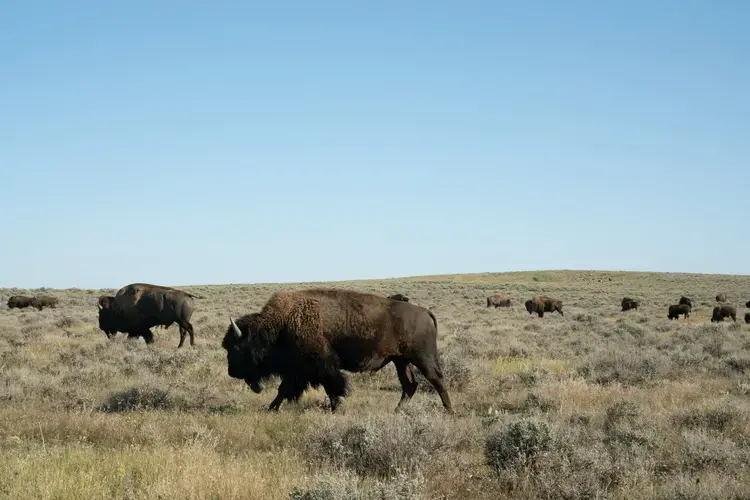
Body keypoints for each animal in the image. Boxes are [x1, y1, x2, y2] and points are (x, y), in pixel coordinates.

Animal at [220, 290, 456, 414]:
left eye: (238, 348)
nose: (231, 371)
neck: (282, 324)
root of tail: (424, 312)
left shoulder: (322, 367)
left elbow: (332, 387)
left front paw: (335, 409)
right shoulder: (298, 371)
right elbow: (284, 389)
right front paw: (271, 408)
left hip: (422, 358)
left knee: (437, 380)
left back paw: (450, 411)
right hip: (400, 361)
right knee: (410, 385)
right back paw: (396, 411)